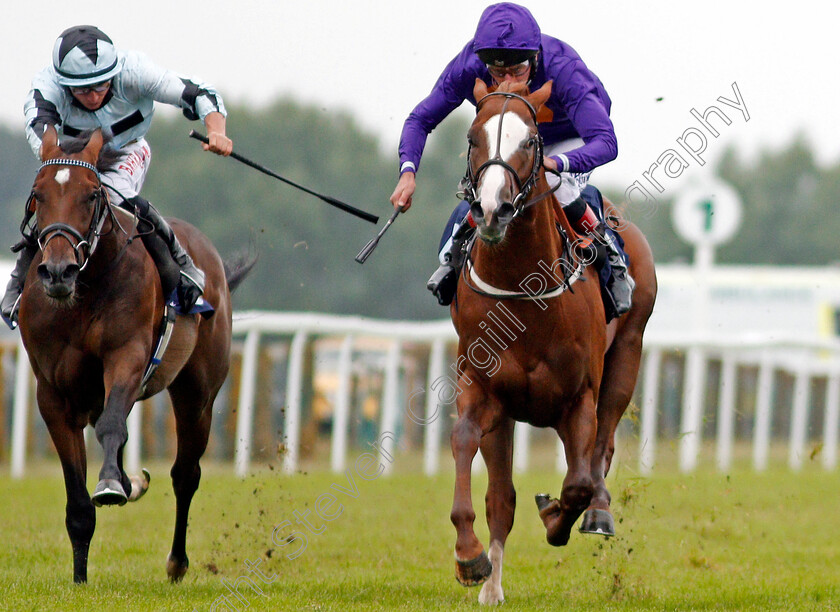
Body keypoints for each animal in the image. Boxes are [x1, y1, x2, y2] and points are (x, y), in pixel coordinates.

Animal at [17, 125, 253, 584]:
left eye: (92, 195)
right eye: (38, 194)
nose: (58, 272)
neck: (84, 291)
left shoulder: (126, 356)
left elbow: (113, 426)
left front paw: (110, 484)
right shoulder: (52, 393)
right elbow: (77, 501)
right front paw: (79, 579)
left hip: (198, 393)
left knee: (185, 474)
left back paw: (177, 561)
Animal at [450, 80, 660, 604]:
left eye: (530, 141)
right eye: (472, 138)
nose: (492, 210)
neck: (522, 290)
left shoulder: (577, 398)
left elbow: (579, 482)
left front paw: (554, 517)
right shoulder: (482, 387)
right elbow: (466, 444)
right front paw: (470, 557)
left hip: (627, 356)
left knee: (601, 450)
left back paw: (598, 512)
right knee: (501, 495)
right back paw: (492, 584)